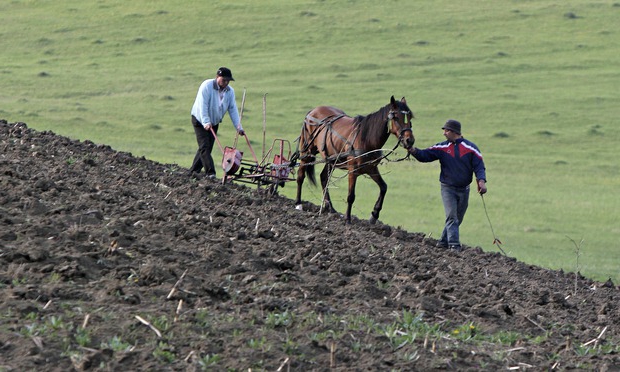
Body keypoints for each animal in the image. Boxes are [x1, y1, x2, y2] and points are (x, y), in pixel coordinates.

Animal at [294, 96, 414, 224]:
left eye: (410, 117)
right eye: (396, 117)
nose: (409, 140)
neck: (366, 138)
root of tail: (312, 111)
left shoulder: (371, 169)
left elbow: (383, 187)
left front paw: (374, 214)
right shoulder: (353, 170)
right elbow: (351, 196)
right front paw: (347, 218)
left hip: (331, 158)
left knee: (324, 178)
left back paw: (330, 208)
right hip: (307, 152)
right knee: (300, 176)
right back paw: (298, 204)